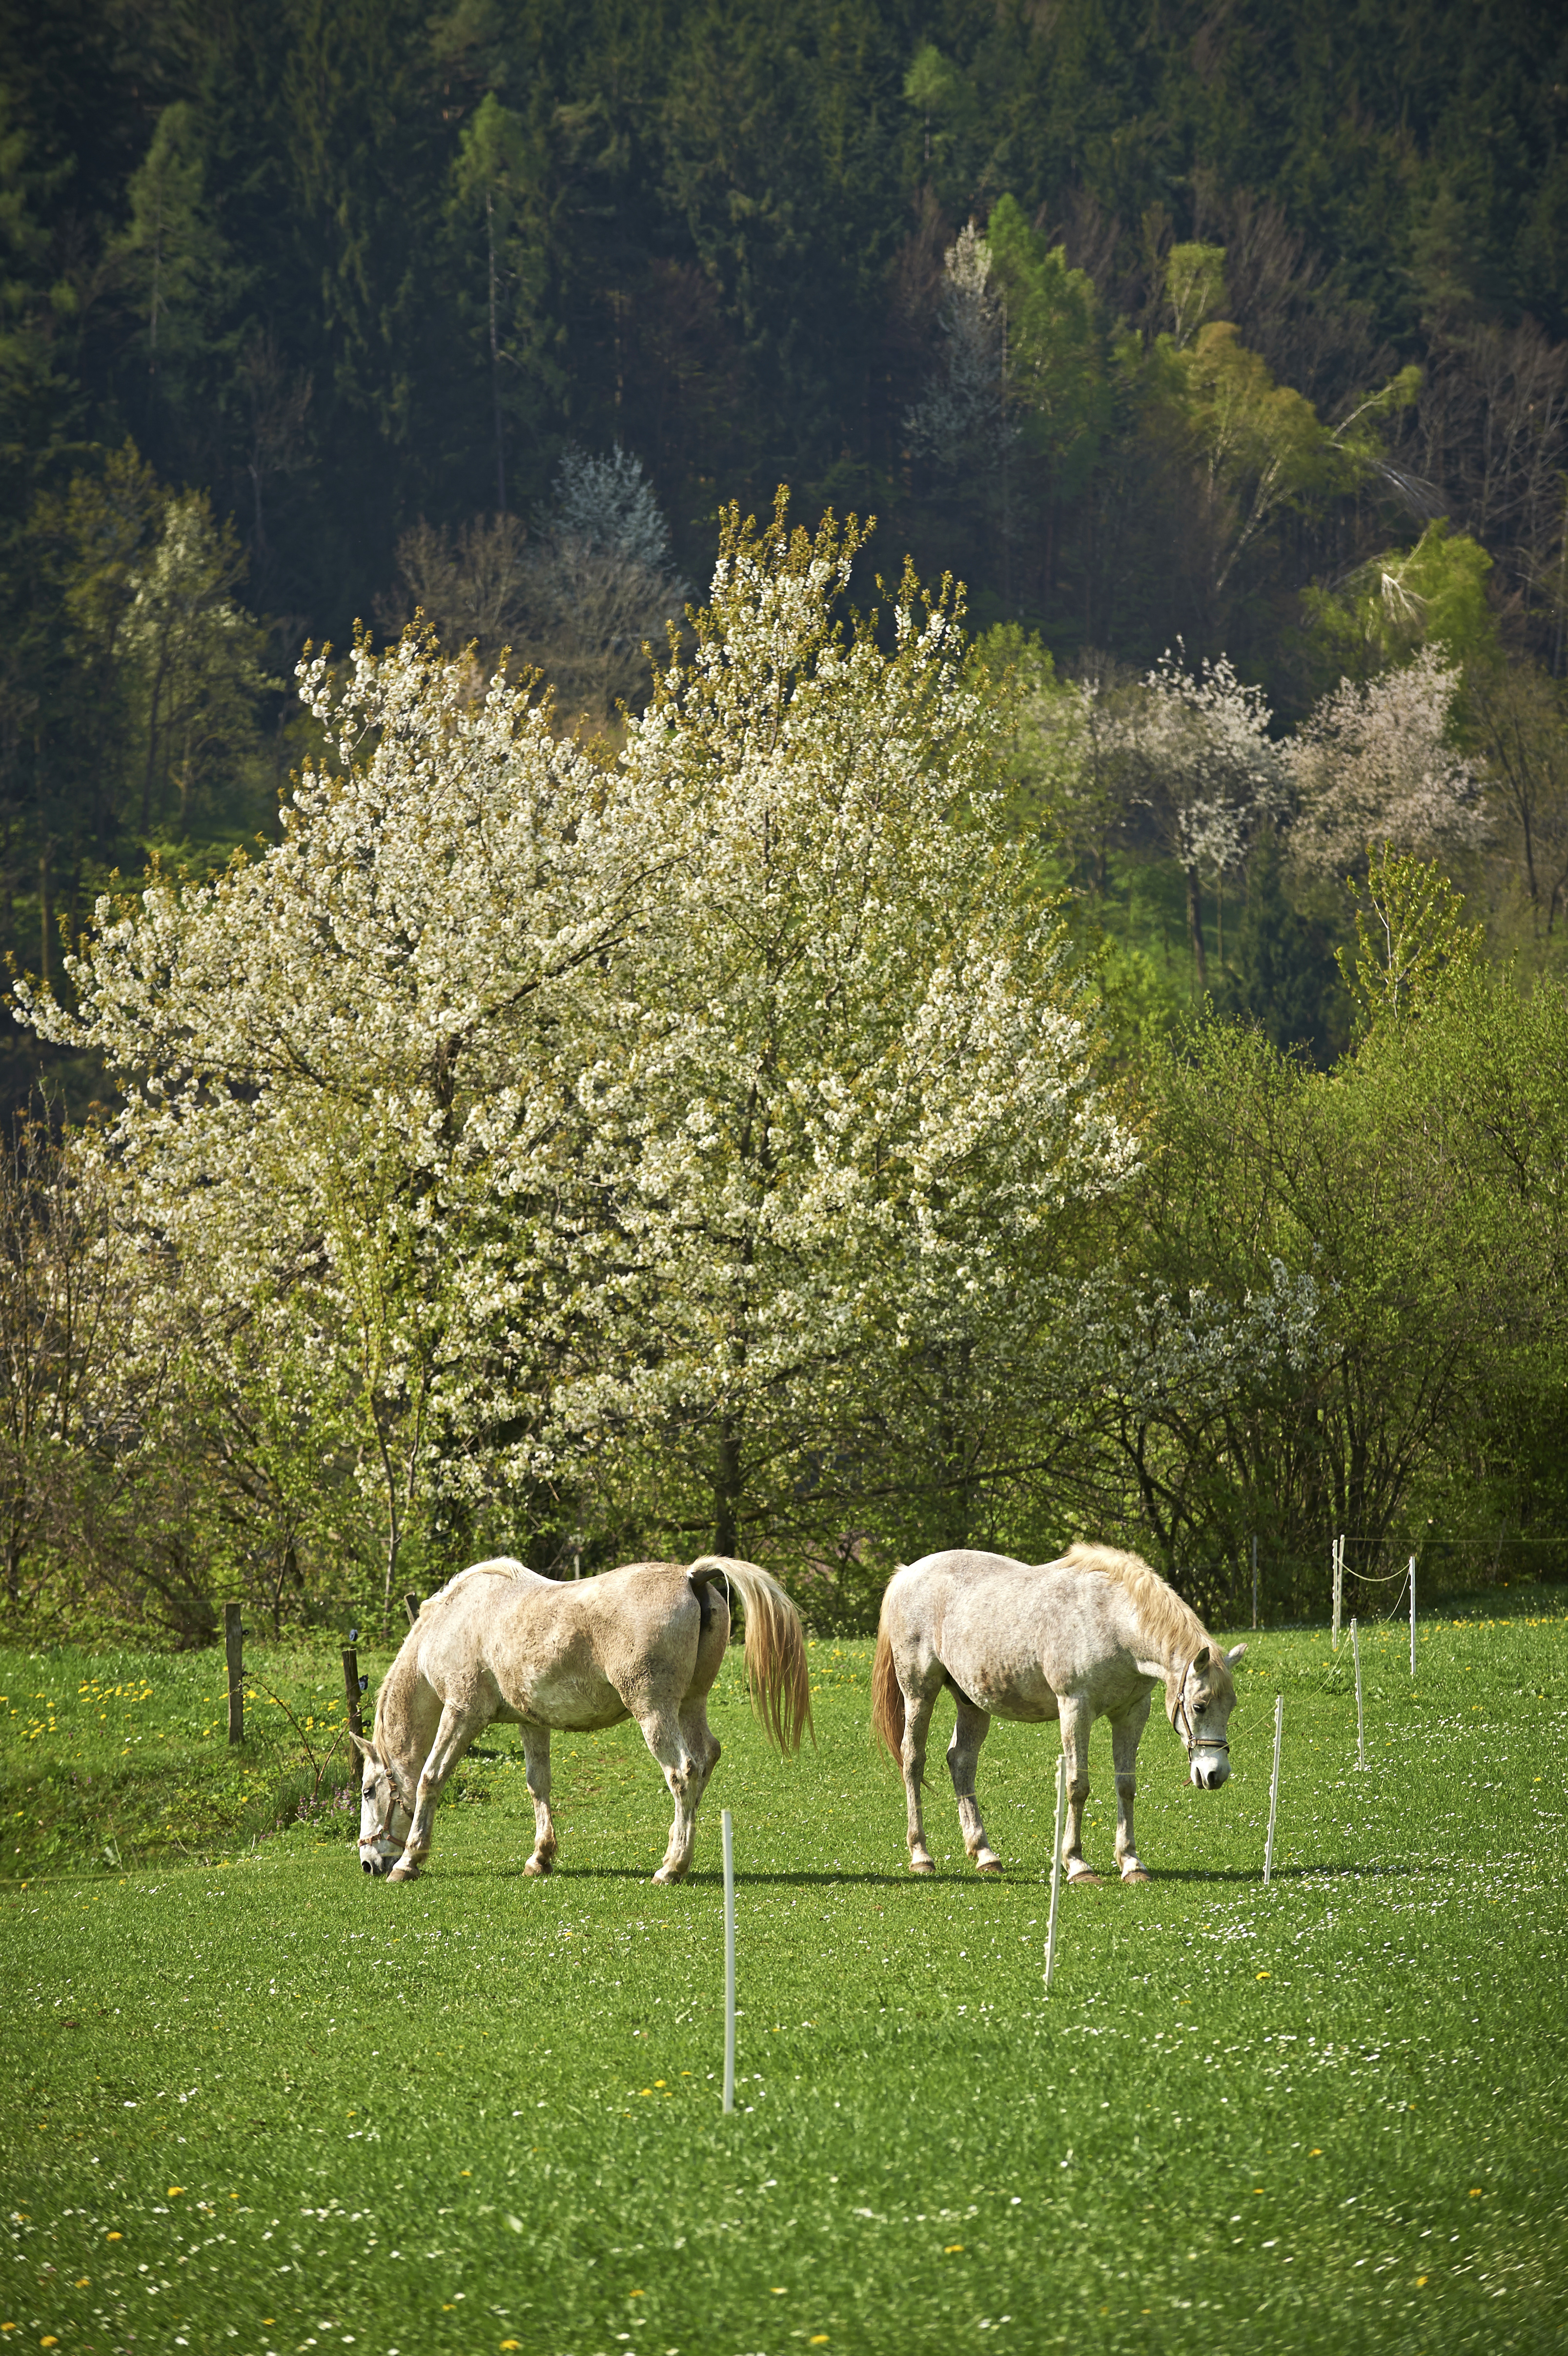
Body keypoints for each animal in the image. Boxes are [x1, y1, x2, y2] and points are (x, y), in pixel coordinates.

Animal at [350, 1555, 805, 1885]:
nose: (368, 1862)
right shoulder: (530, 1722)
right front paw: (540, 1857)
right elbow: (538, 1784)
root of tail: (691, 1576)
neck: (455, 1620)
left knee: (683, 1772)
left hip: (654, 1710)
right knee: (706, 1757)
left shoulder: (462, 1713)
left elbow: (430, 1778)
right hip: (691, 1703)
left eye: (368, 1792)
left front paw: (410, 1860)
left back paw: (671, 1867)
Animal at [866, 1536, 1243, 1885]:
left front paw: (1131, 1863)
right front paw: (1077, 1864)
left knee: (961, 1761)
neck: (1111, 1619)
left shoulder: (1132, 1712)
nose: (1215, 1774)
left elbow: (1126, 1785)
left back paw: (985, 1854)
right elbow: (1078, 1785)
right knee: (913, 1760)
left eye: (1231, 1706)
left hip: (971, 1702)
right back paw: (921, 1855)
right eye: (1199, 1706)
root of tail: (906, 1574)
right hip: (919, 1693)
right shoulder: (1075, 1708)